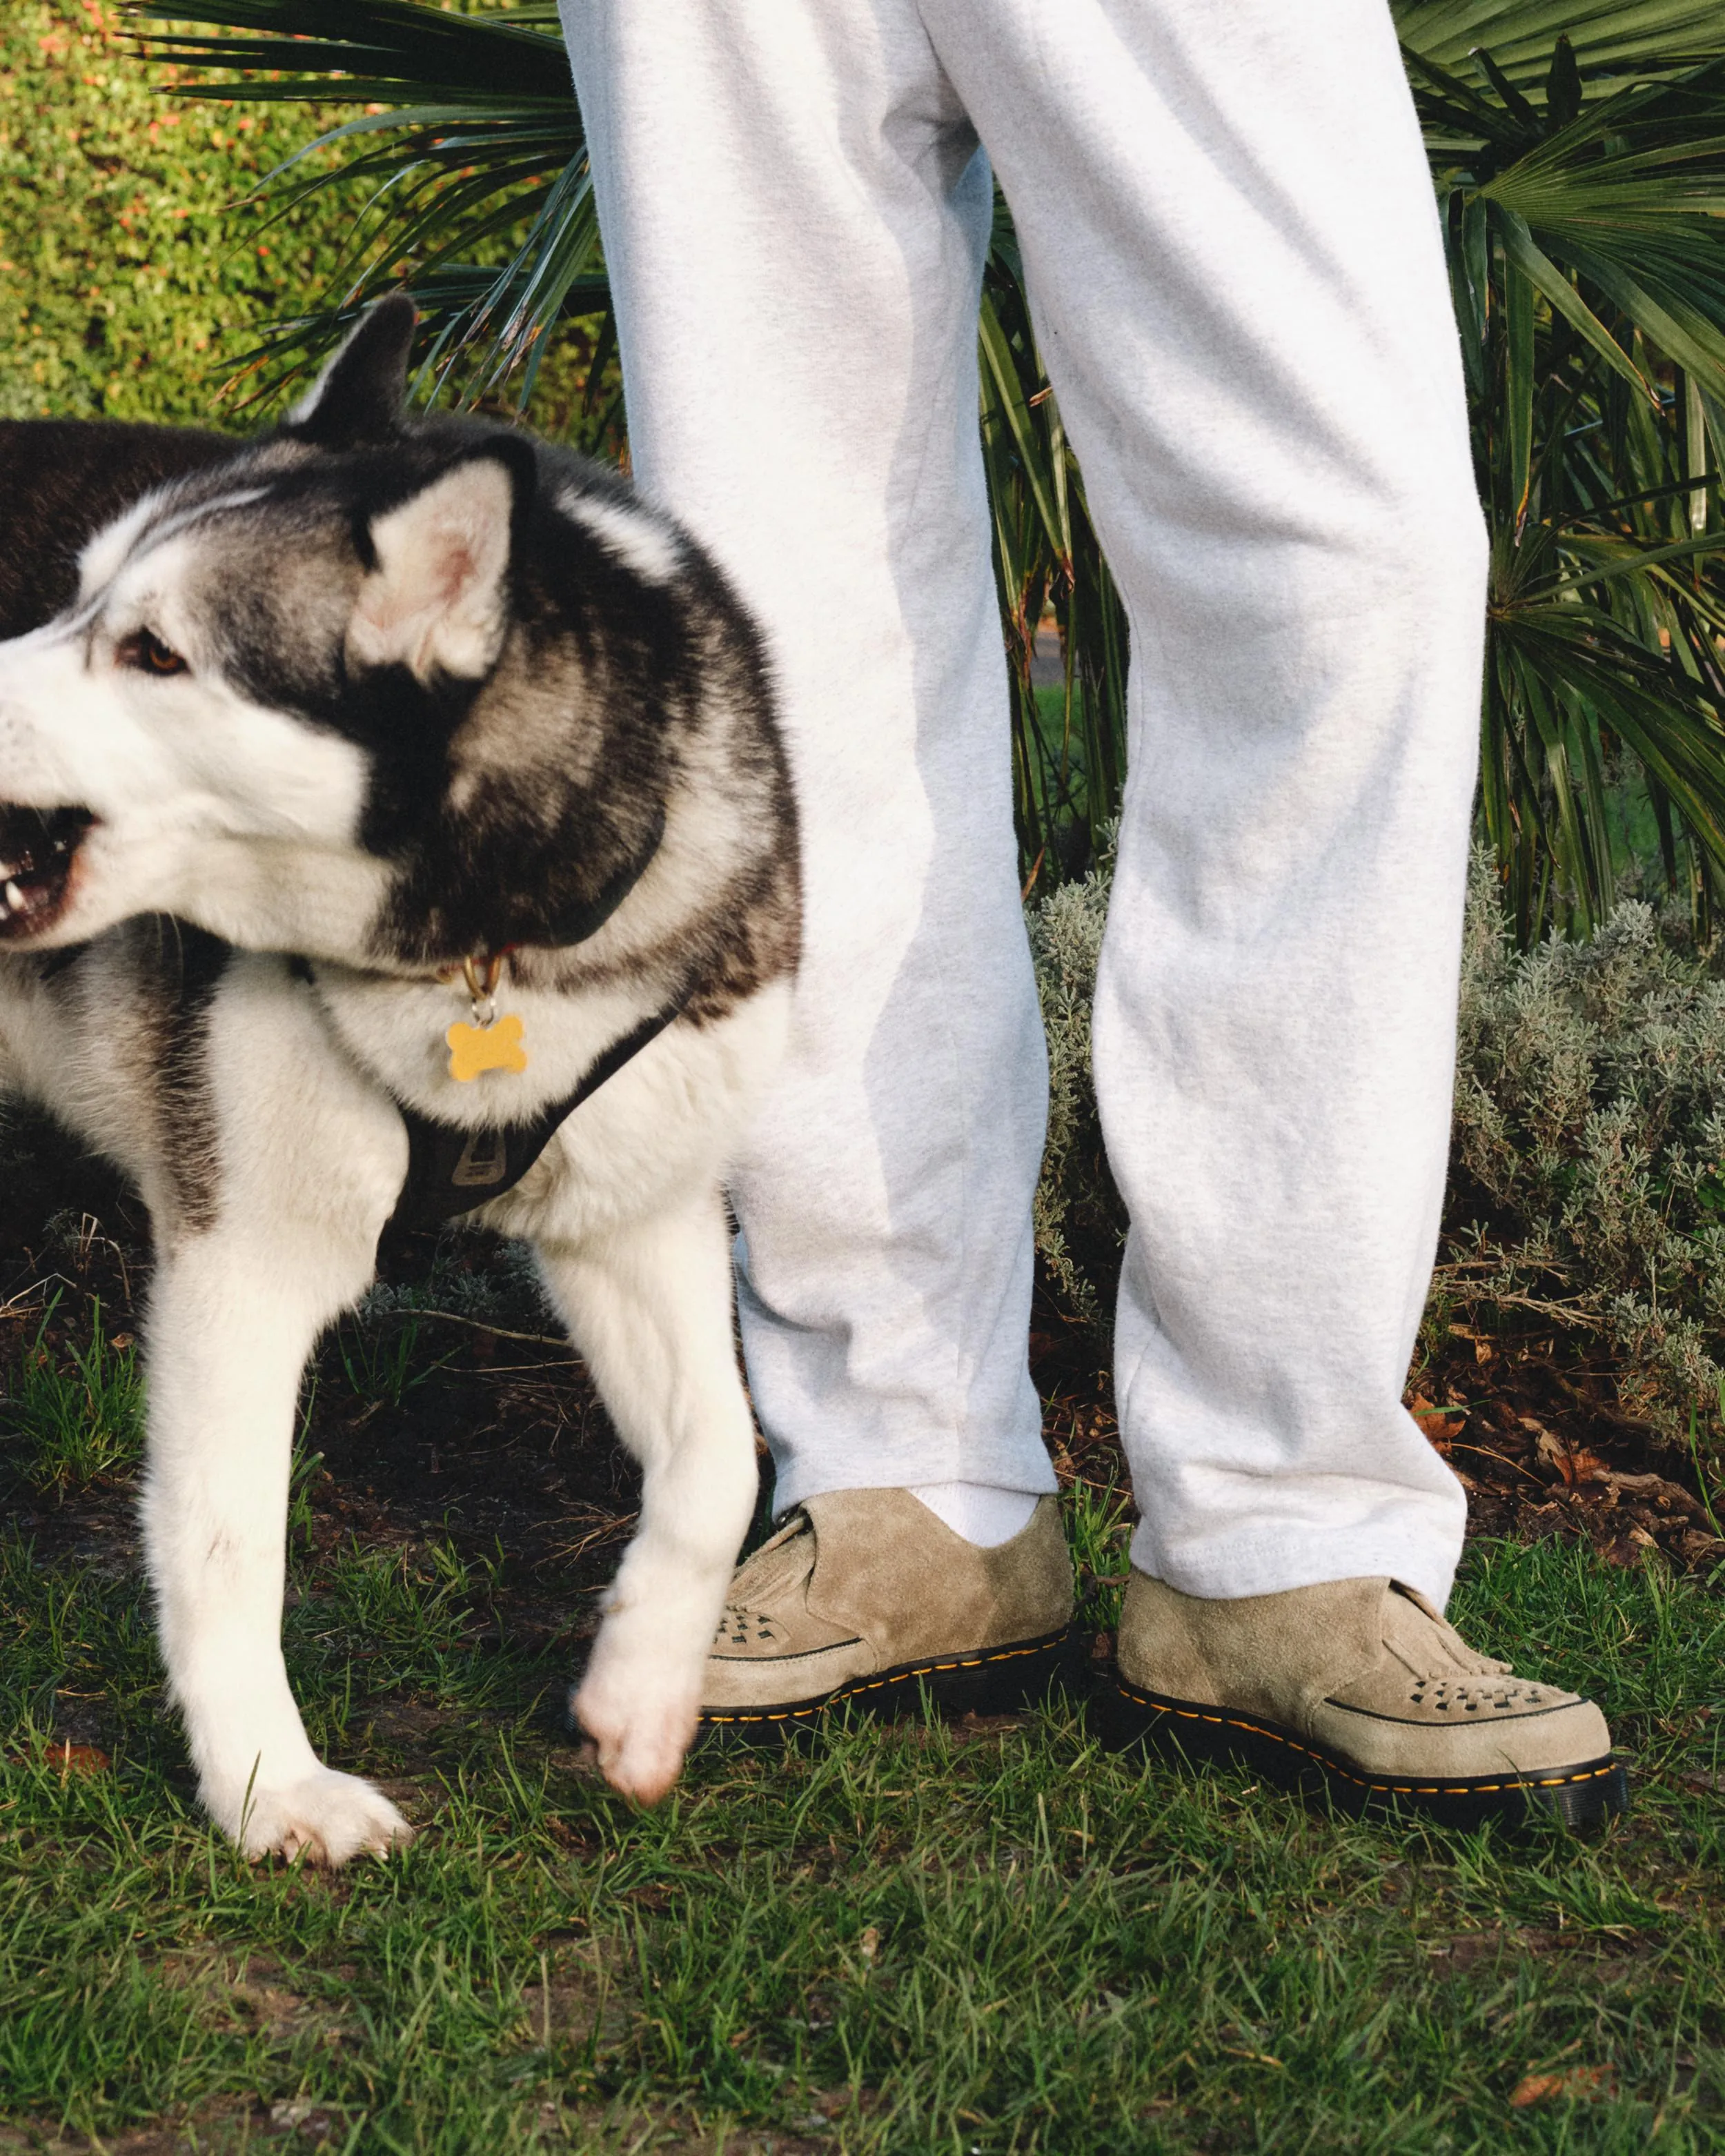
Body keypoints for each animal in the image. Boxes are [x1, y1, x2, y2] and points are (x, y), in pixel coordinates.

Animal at [0, 295, 802, 1863]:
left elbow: (718, 1466)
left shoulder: (636, 1217)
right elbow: (229, 1539)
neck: (482, 946)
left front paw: (640, 1690)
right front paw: (269, 1788)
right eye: (73, 597)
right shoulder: (240, 1263)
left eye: (153, 651)